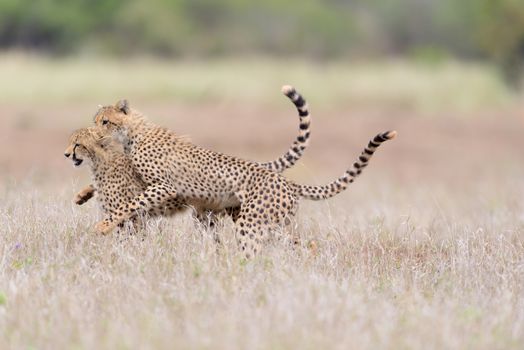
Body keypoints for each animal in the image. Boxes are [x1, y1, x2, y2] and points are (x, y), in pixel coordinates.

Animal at [71, 84, 314, 227]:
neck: (132, 134)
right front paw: (83, 194)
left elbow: (132, 204)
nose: (94, 134)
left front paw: (106, 224)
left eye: (105, 122)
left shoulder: (164, 186)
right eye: (95, 121)